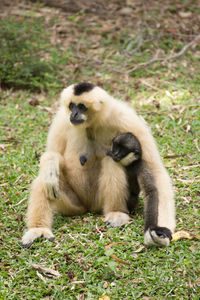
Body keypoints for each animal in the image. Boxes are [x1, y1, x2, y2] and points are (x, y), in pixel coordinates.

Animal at [21, 82, 175, 248]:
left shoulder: (126, 117)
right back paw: (38, 229)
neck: (92, 124)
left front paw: (158, 230)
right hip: (71, 205)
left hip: (98, 202)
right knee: (46, 180)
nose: (74, 114)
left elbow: (156, 170)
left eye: (81, 107)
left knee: (111, 162)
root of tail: (88, 207)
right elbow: (53, 154)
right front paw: (51, 165)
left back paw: (115, 213)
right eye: (72, 106)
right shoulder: (62, 120)